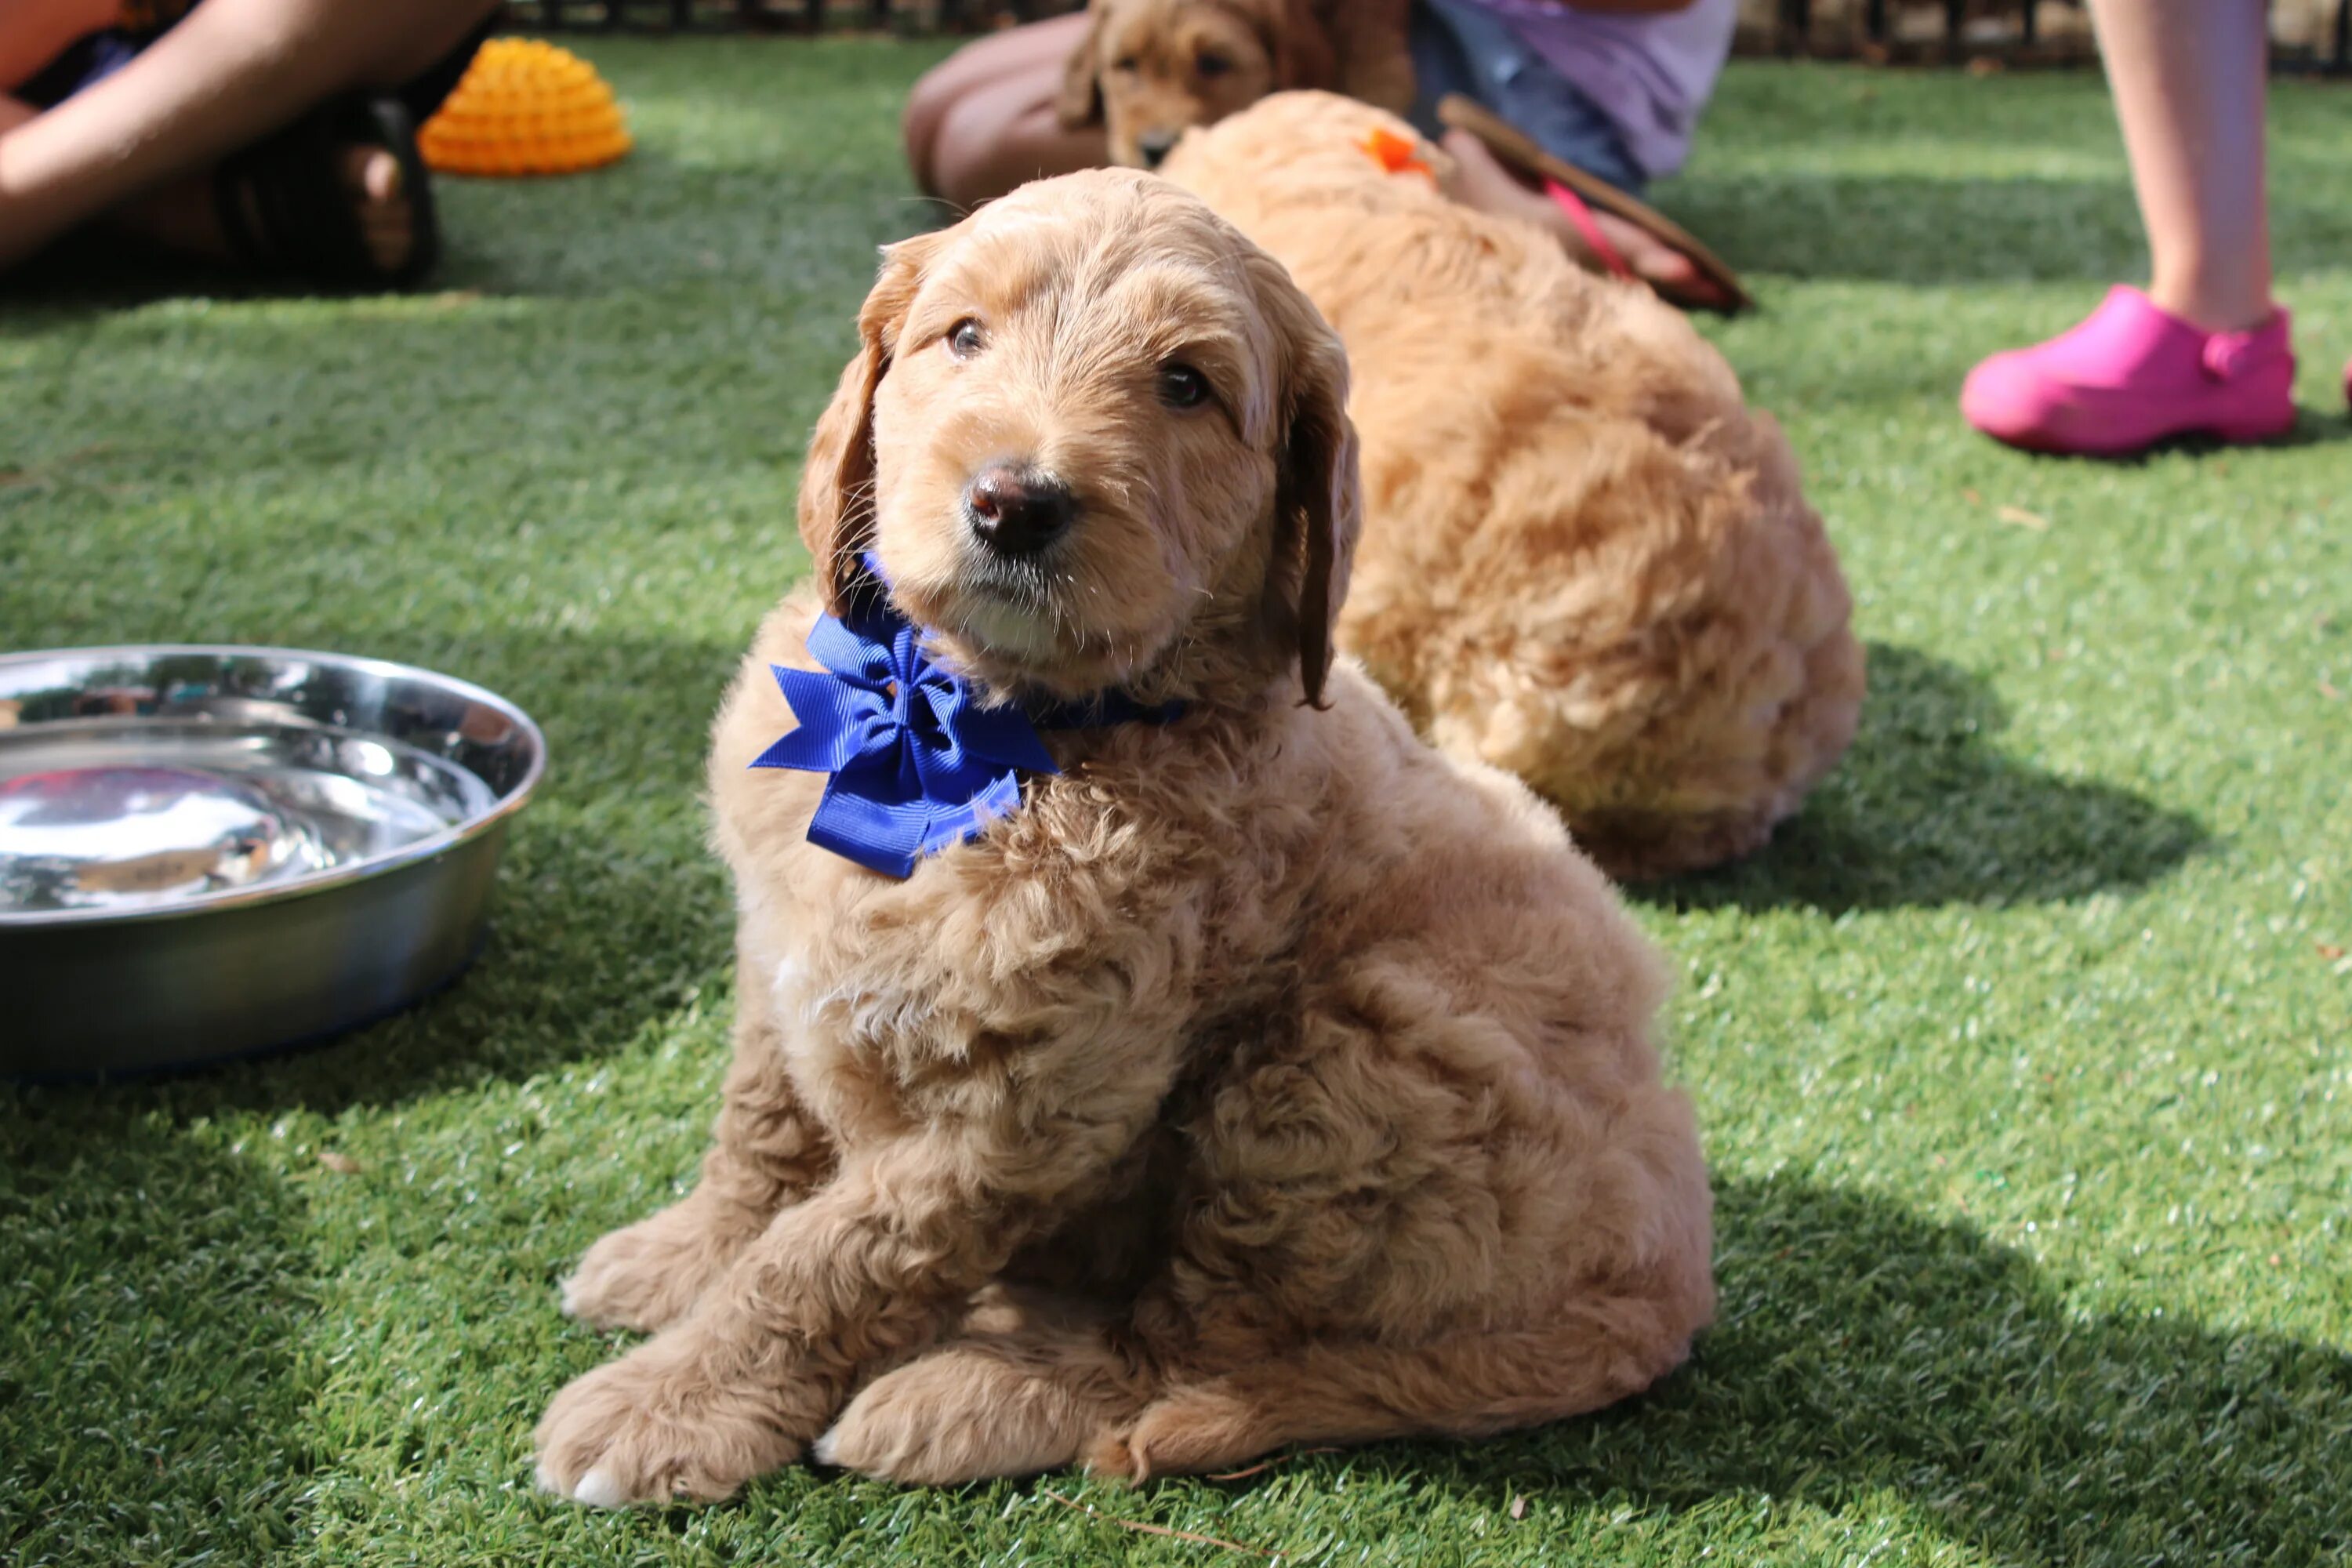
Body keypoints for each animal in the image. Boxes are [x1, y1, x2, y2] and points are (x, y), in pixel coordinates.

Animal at [529, 165, 1712, 1504]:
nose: (1011, 502)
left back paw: (978, 1393)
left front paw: (672, 1403)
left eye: (1185, 384)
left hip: (1350, 1059)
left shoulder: (1034, 1099)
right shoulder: (777, 947)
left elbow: (842, 1250)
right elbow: (761, 1130)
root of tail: (1669, 1288)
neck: (981, 739)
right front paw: (685, 1258)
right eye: (964, 337)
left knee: (1189, 1340)